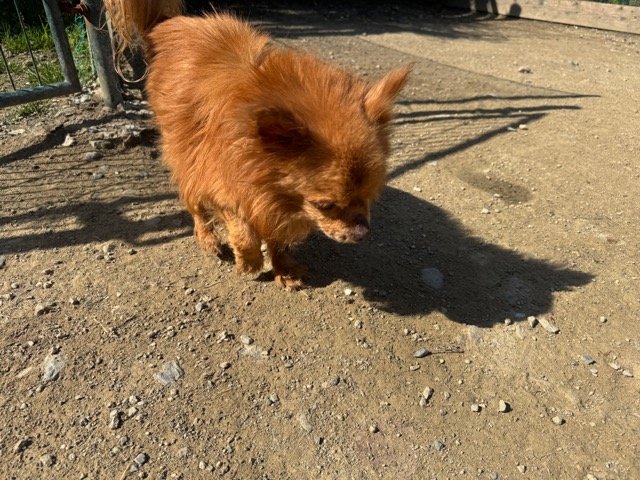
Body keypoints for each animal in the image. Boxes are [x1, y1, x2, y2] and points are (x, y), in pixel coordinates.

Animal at [104, 0, 411, 288]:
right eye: (325, 205)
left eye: (371, 195)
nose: (362, 233)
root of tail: (167, 24)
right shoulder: (225, 183)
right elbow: (244, 232)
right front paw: (250, 261)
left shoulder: (271, 200)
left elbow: (276, 236)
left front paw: (283, 267)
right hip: (183, 152)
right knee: (194, 203)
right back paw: (207, 237)